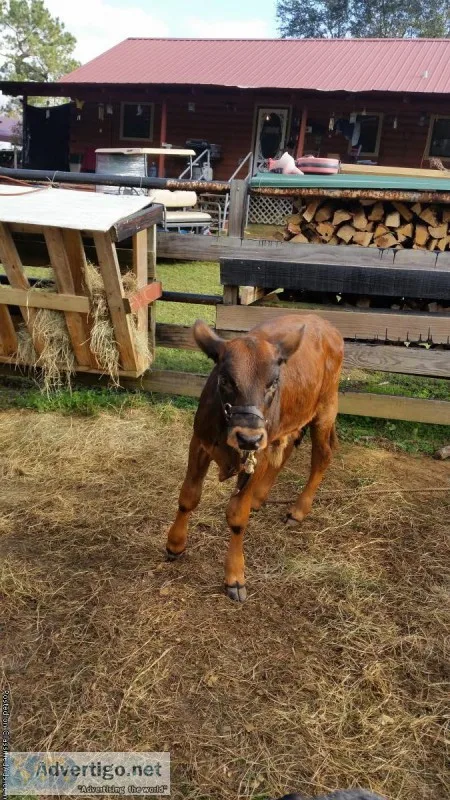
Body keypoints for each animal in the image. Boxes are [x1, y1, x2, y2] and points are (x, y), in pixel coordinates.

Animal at [166, 314, 344, 602]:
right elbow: (188, 497)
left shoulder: (255, 455)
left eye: (273, 382)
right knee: (287, 447)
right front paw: (175, 543)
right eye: (225, 380)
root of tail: (325, 324)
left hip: (325, 410)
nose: (248, 437)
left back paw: (298, 509)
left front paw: (235, 575)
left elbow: (237, 516)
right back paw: (260, 496)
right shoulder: (200, 443)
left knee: (322, 457)